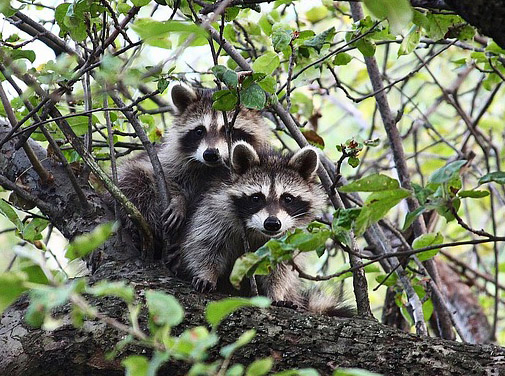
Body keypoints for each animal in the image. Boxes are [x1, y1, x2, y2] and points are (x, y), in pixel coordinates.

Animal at [112, 85, 270, 254]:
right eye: (199, 131)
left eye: (229, 130)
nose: (210, 154)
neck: (211, 168)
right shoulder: (167, 159)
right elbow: (161, 174)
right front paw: (178, 199)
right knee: (134, 179)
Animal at [179, 142, 352, 318]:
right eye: (256, 198)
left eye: (287, 198)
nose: (272, 223)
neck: (257, 231)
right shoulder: (215, 210)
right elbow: (205, 244)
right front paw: (206, 273)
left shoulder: (290, 237)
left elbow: (281, 268)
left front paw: (276, 292)